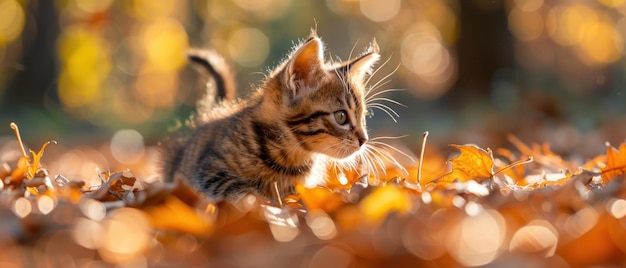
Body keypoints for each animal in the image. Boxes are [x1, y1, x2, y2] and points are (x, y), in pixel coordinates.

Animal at [161, 30, 382, 203]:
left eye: (362, 117)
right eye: (341, 117)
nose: (364, 140)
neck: (288, 158)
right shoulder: (208, 169)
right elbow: (237, 188)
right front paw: (262, 205)